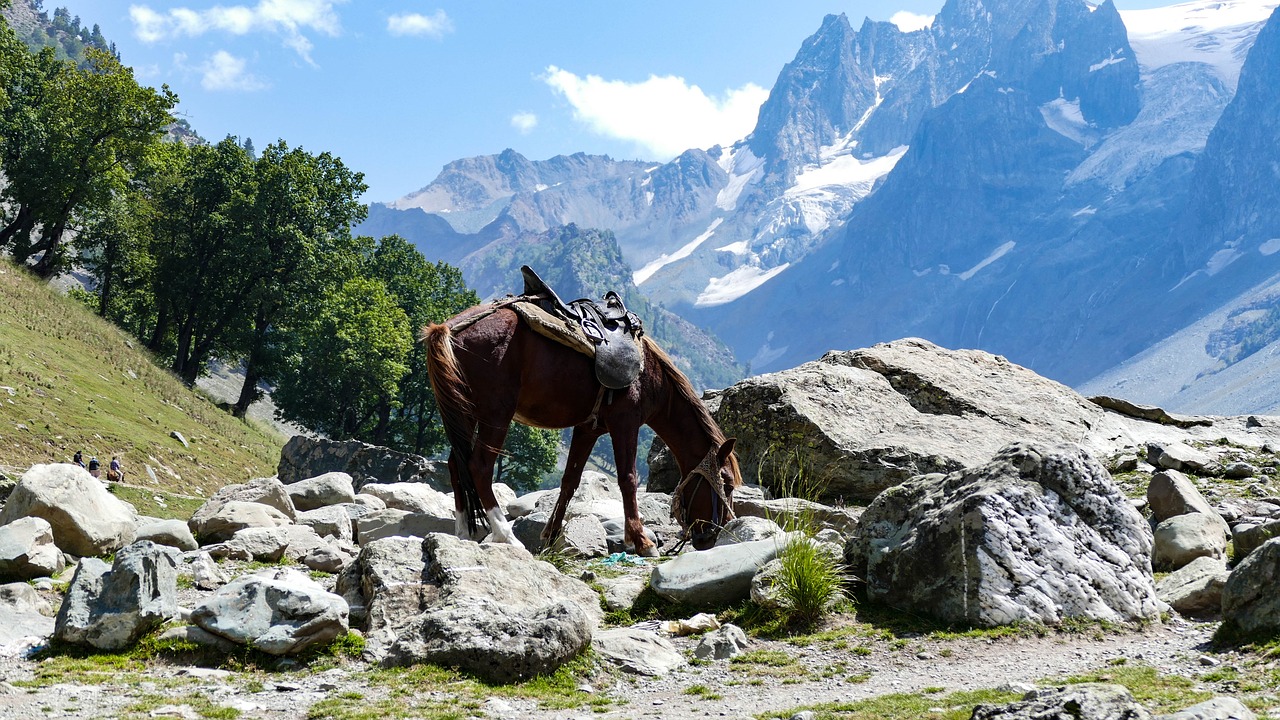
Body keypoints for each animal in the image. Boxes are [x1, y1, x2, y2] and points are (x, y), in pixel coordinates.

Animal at [423, 302, 743, 556]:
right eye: (726, 484)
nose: (714, 535)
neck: (650, 375)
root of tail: (448, 329)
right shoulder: (625, 423)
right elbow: (628, 479)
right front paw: (641, 541)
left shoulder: (588, 429)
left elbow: (569, 481)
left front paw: (550, 537)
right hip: (495, 415)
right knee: (479, 467)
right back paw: (507, 536)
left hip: (464, 413)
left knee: (456, 465)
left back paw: (463, 534)